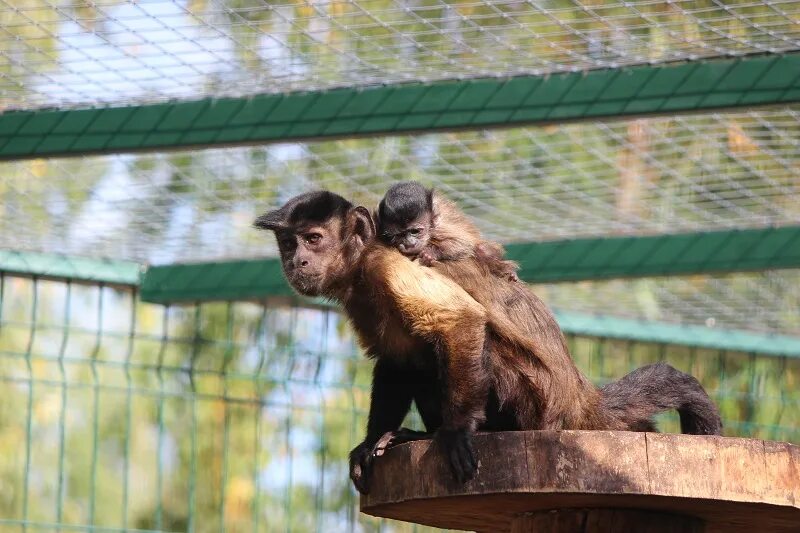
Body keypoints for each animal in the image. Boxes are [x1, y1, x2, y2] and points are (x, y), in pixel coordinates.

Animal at [376, 182, 520, 282]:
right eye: (399, 235)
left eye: (415, 231)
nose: (409, 243)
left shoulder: (440, 226)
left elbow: (464, 244)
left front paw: (431, 252)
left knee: (481, 249)